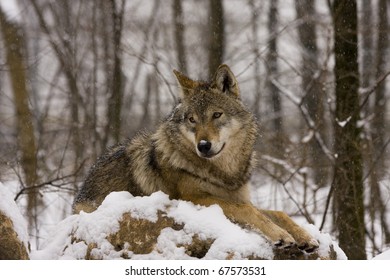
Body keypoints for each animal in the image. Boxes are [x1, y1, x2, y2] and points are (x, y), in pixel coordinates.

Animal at [72, 65, 316, 252]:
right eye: (191, 119)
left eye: (216, 115)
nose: (203, 146)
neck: (224, 173)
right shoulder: (196, 198)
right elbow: (247, 211)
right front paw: (281, 235)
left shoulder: (240, 197)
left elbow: (278, 213)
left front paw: (305, 236)